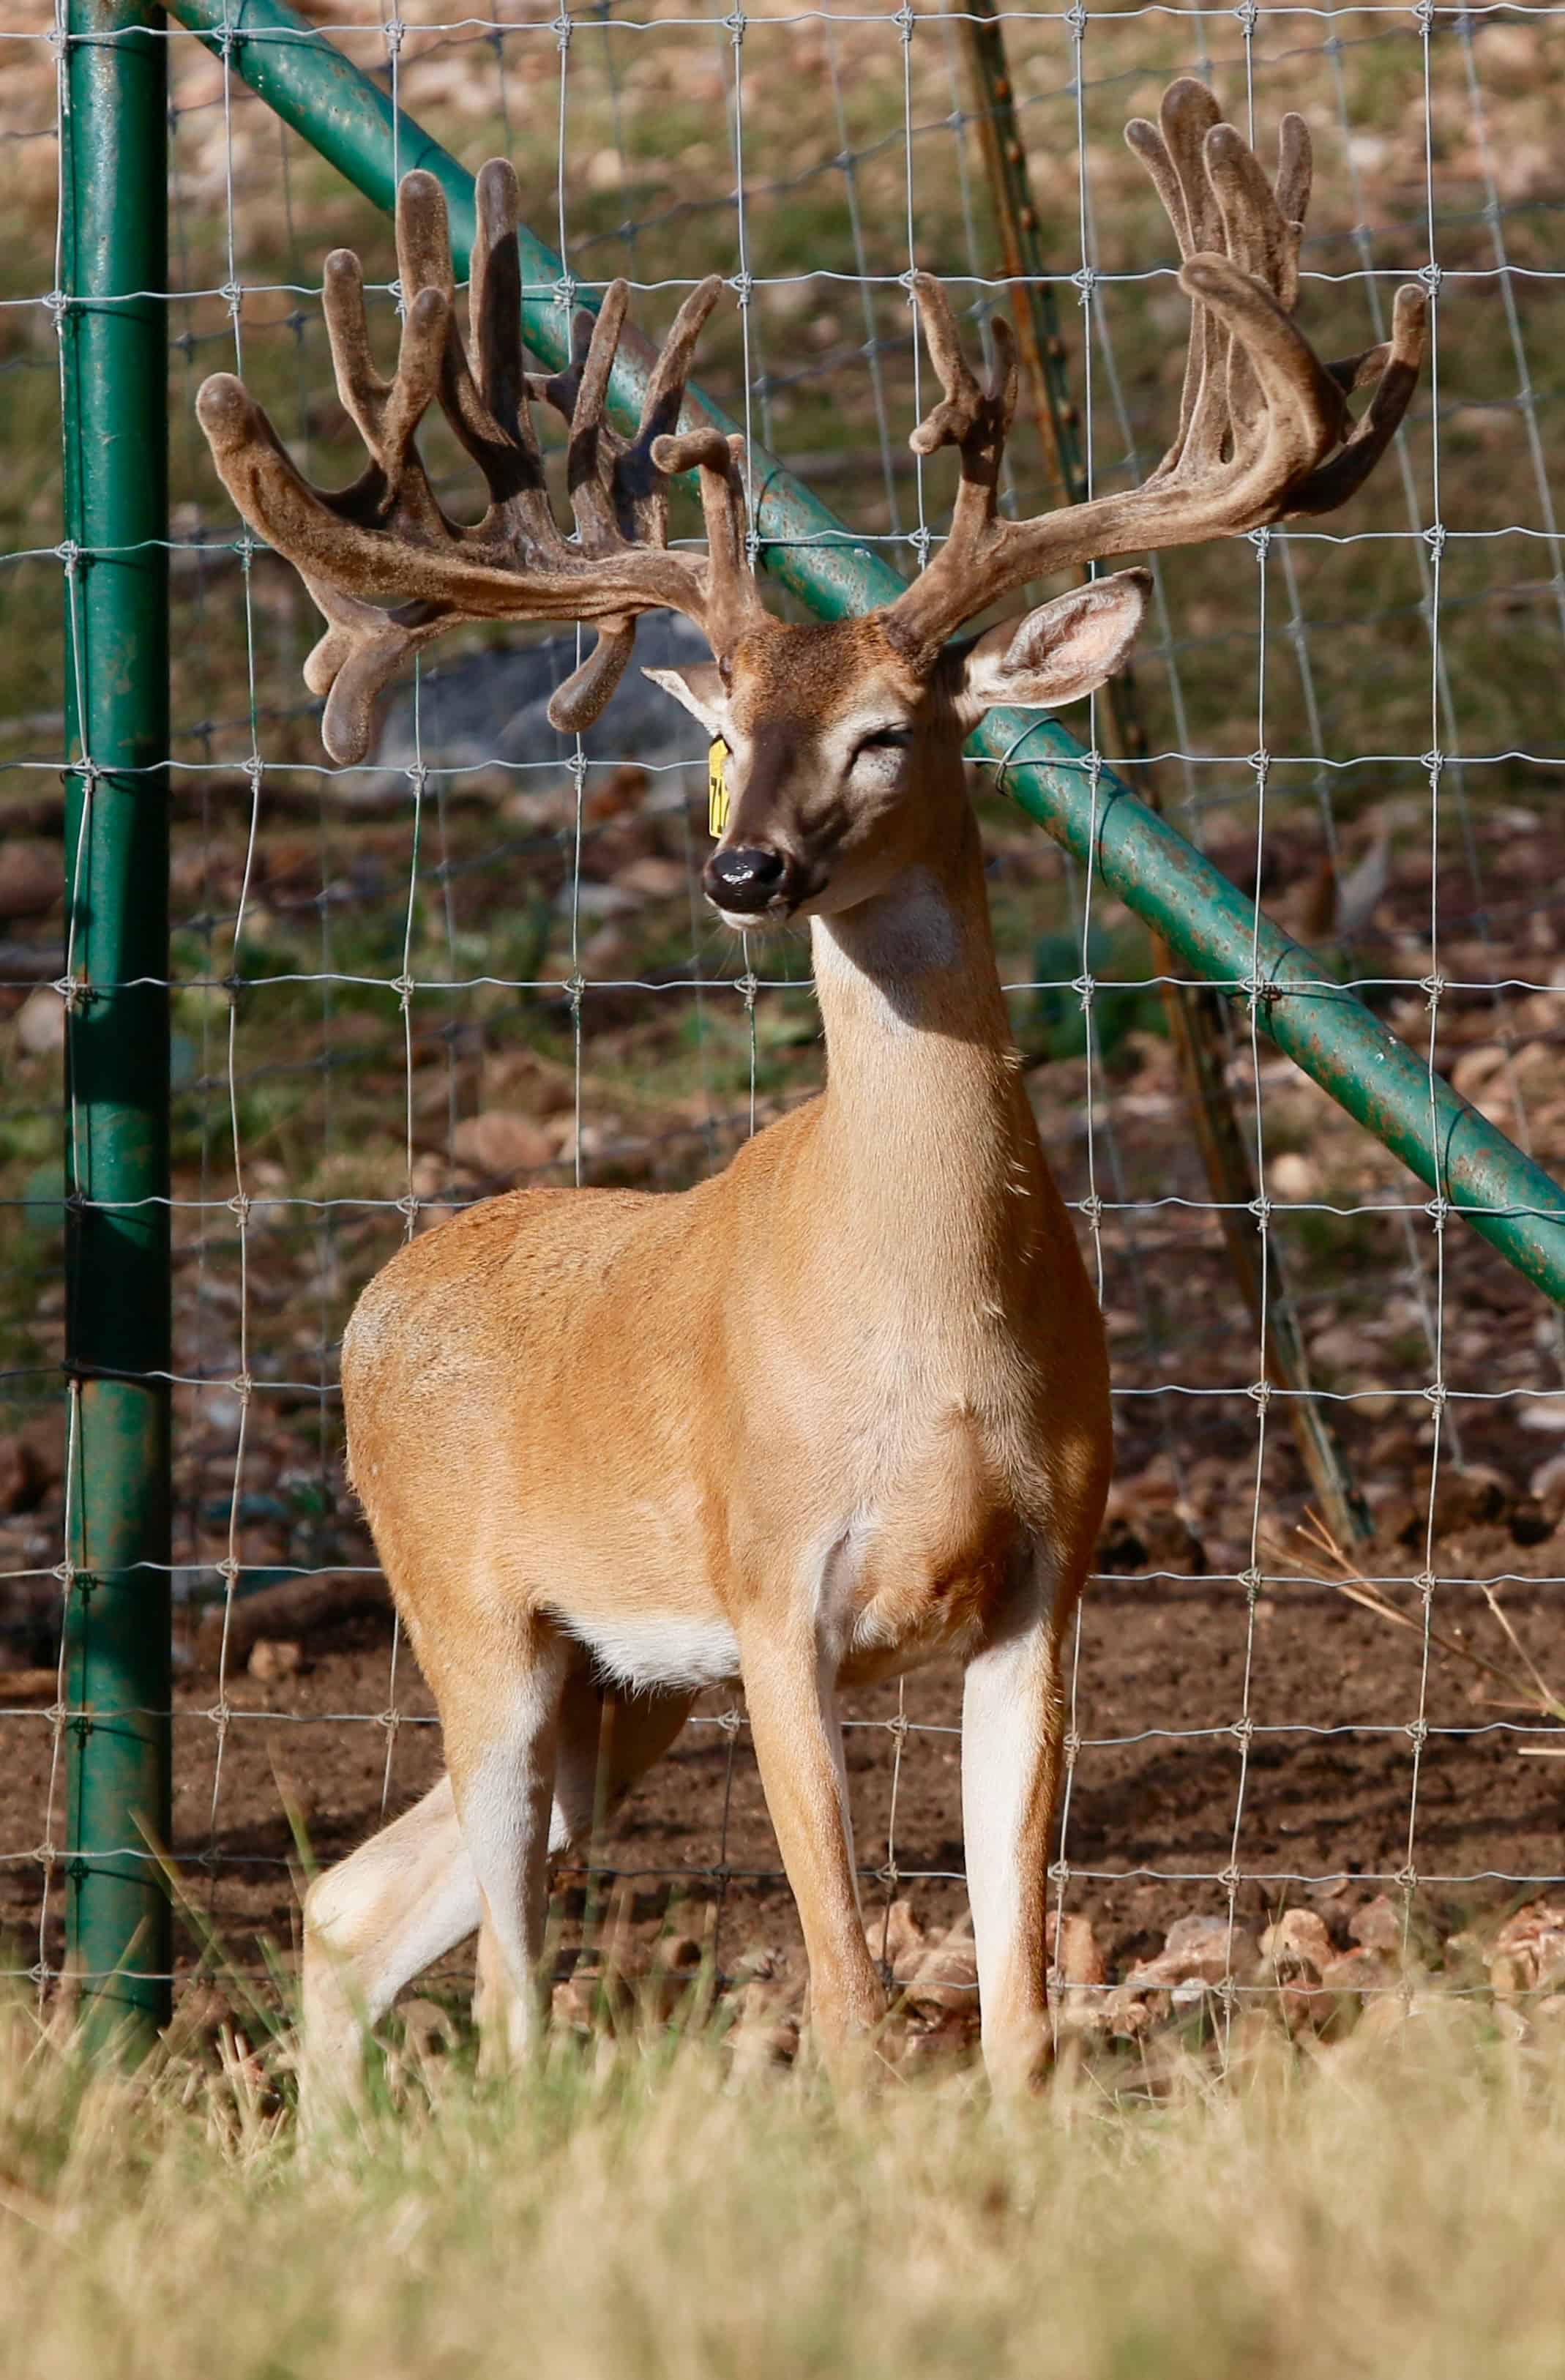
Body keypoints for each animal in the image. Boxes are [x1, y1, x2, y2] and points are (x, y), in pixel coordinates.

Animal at [196, 77, 1423, 2112]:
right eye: (719, 745)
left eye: (885, 732)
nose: (741, 868)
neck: (922, 1333)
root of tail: (377, 1296)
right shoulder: (771, 1585)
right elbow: (851, 1990)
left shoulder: (1047, 1578)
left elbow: (1016, 2000)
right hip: (475, 1612)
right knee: (507, 1972)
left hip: (618, 1687)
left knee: (356, 1904)